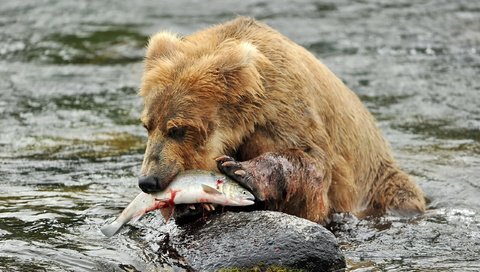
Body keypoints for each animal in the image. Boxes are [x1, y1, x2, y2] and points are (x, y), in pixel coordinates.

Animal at [137, 17, 426, 225]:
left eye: (178, 129)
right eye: (148, 125)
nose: (148, 180)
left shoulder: (284, 108)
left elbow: (312, 166)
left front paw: (240, 170)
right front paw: (192, 205)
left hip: (381, 182)